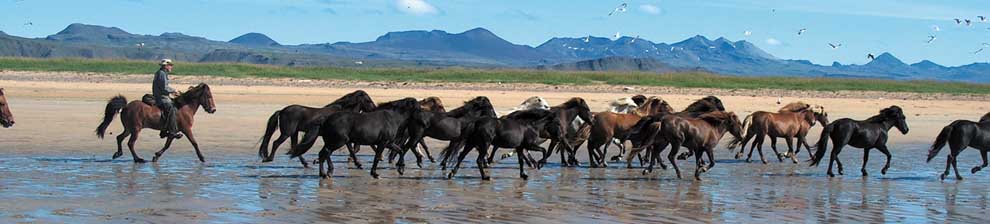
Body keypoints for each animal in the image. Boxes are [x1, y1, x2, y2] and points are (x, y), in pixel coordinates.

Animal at [286, 98, 426, 178]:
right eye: (418, 108)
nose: (425, 123)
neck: (393, 118)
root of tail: (326, 119)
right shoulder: (383, 143)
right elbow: (377, 157)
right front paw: (375, 174)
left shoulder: (389, 143)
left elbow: (400, 151)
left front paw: (401, 169)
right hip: (337, 142)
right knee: (325, 153)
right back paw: (327, 173)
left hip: (332, 141)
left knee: (323, 154)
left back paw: (325, 173)